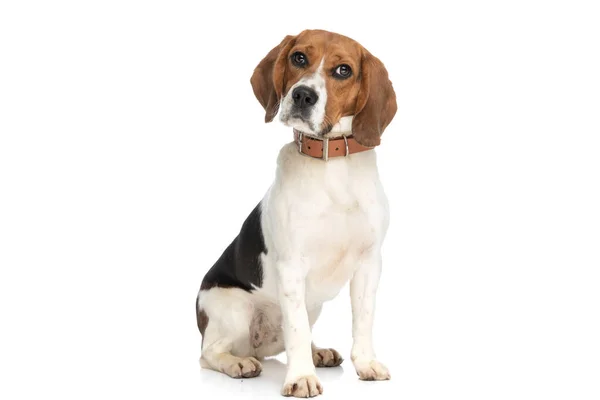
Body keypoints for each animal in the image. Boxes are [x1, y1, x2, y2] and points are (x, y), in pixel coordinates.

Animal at [195, 28, 396, 396]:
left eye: (343, 70)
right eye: (299, 57)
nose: (303, 95)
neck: (332, 165)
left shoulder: (369, 262)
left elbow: (363, 318)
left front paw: (365, 363)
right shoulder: (292, 265)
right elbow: (297, 330)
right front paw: (301, 378)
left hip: (312, 305)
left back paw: (319, 353)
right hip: (234, 308)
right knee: (209, 353)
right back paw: (238, 363)